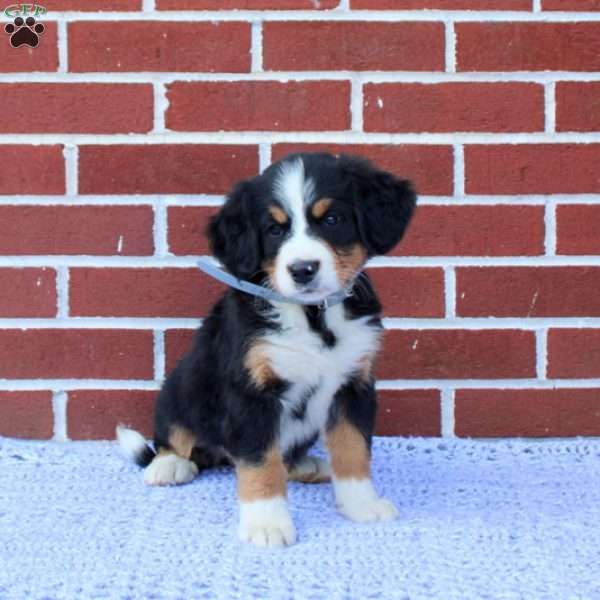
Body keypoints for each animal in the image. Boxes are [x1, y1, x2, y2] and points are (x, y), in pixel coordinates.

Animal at [118, 151, 418, 548]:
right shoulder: (251, 391)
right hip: (181, 384)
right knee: (175, 435)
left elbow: (353, 448)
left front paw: (361, 504)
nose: (303, 269)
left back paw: (309, 465)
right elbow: (262, 462)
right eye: (275, 230)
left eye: (332, 219)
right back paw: (169, 465)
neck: (314, 317)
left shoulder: (354, 384)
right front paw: (267, 523)